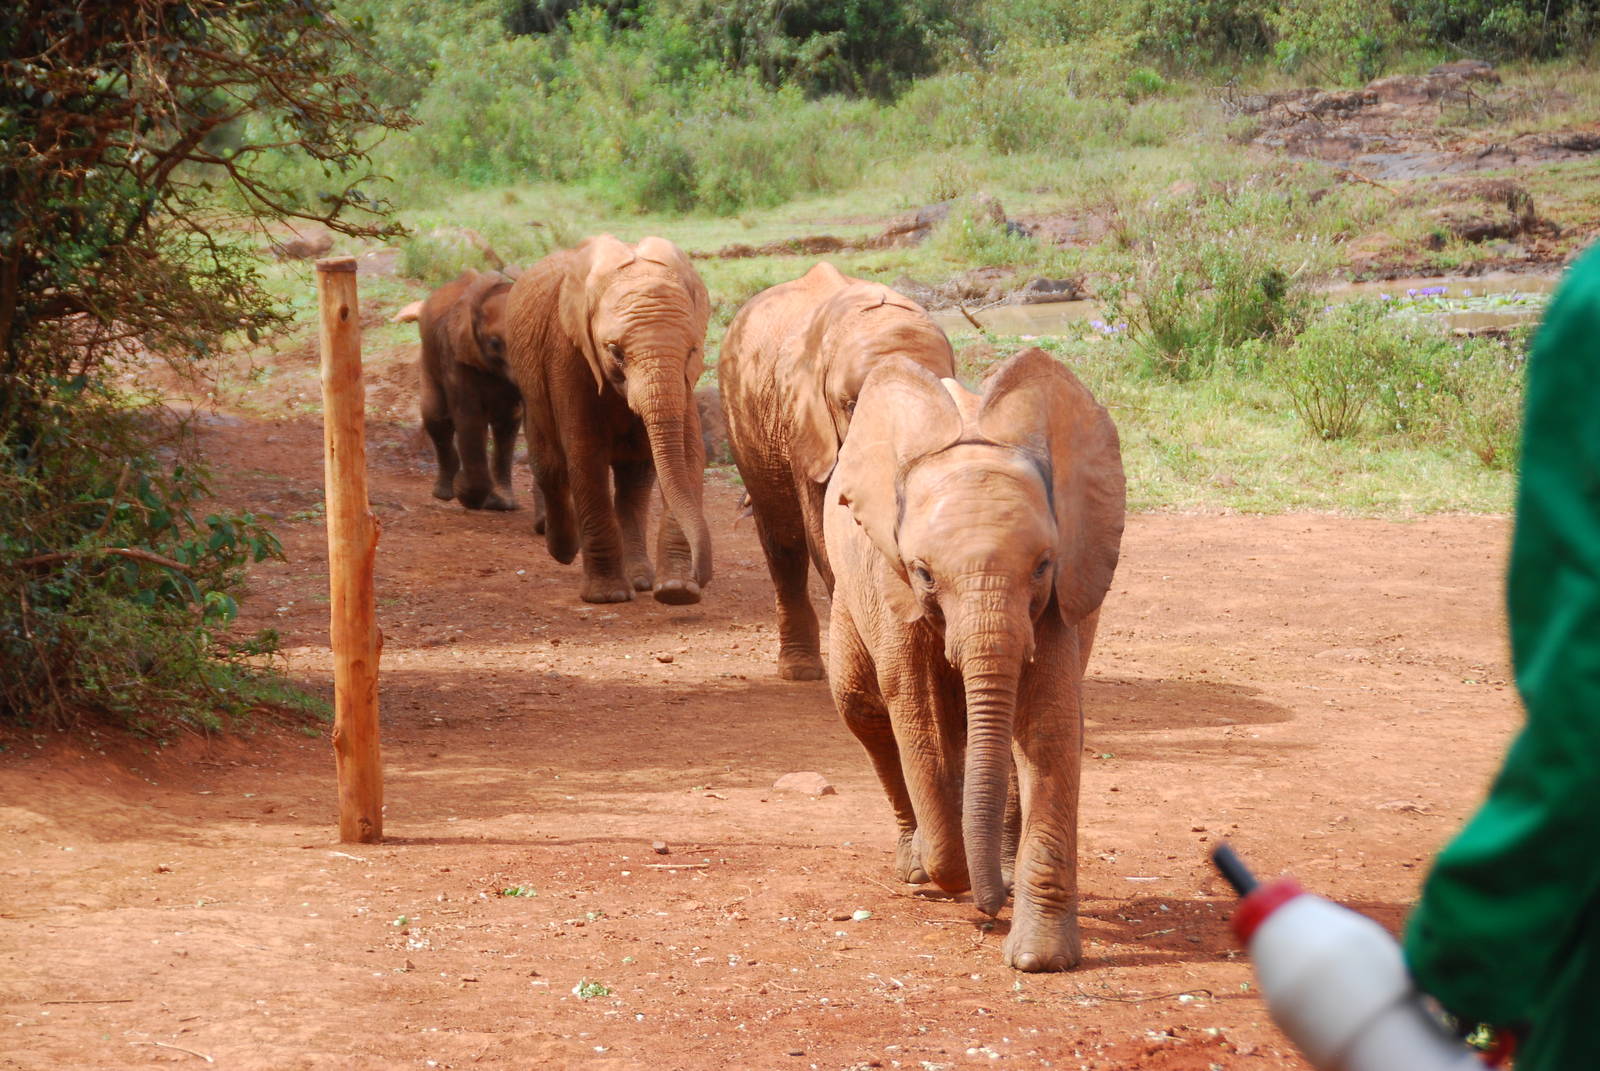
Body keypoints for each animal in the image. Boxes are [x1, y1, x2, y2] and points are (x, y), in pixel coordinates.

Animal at [415, 268, 529, 514]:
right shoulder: (455, 354)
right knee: (436, 417)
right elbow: (469, 417)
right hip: (428, 359)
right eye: (495, 343)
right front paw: (465, 493)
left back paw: (499, 502)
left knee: (504, 425)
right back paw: (445, 493)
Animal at [502, 234, 712, 605]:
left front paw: (676, 591)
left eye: (693, 350)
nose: (702, 575)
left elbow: (687, 455)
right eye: (615, 352)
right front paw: (608, 596)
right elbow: (586, 455)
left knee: (634, 480)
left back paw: (640, 580)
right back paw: (564, 550)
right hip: (530, 384)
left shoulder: (686, 380)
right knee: (551, 466)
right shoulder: (567, 353)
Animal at [718, 262, 955, 679]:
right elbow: (823, 530)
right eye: (851, 406)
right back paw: (800, 670)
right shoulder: (804, 421)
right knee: (783, 535)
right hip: (744, 420)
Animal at [822, 347, 1125, 972]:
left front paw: (1038, 960)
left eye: (1042, 565)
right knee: (862, 706)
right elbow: (911, 706)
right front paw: (949, 869)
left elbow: (1049, 724)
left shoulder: (1059, 593)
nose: (990, 908)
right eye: (924, 572)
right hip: (848, 592)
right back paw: (918, 867)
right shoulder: (891, 581)